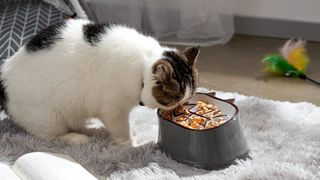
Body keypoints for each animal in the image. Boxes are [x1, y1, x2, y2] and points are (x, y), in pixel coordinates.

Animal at [0, 18, 200, 145]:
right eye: (176, 100)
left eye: (187, 98)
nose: (181, 109)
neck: (142, 64)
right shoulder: (112, 109)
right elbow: (121, 128)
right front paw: (130, 142)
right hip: (48, 118)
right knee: (49, 135)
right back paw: (76, 138)